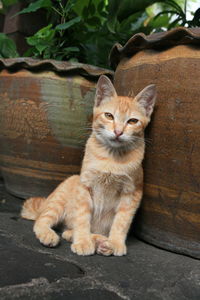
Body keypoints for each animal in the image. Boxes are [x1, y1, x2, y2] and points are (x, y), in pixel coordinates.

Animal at [21, 75, 156, 255]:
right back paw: (51, 235)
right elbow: (82, 218)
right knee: (42, 220)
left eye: (133, 121)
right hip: (60, 198)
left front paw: (115, 242)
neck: (111, 159)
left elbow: (121, 221)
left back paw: (102, 242)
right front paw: (83, 241)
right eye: (109, 116)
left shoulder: (132, 192)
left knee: (67, 230)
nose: (118, 132)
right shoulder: (85, 186)